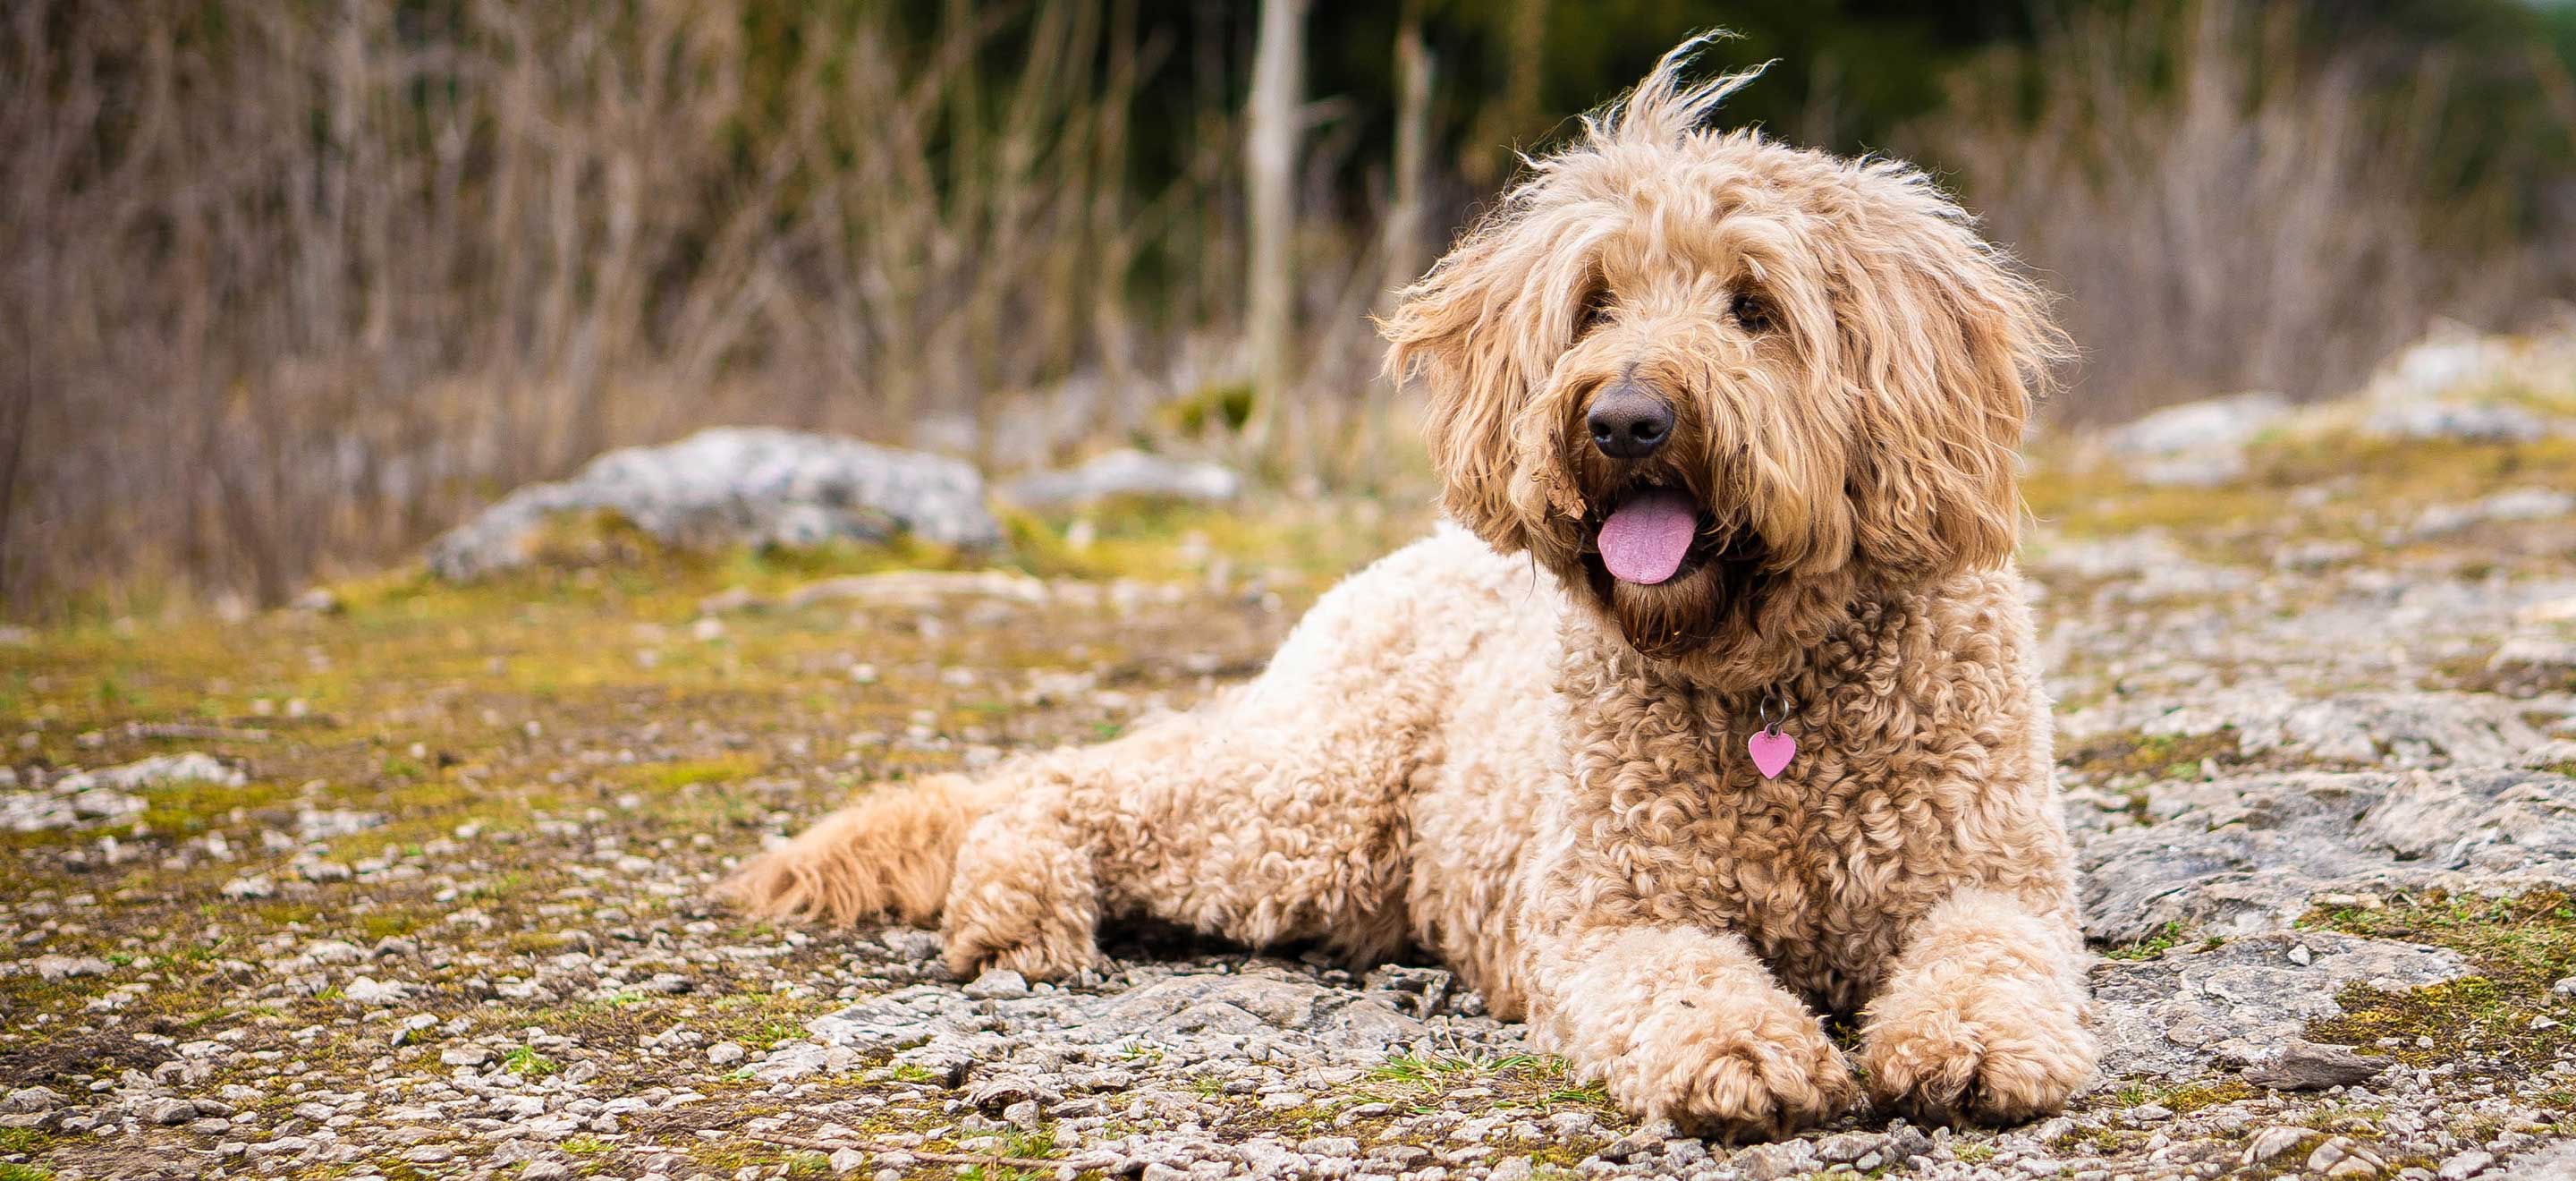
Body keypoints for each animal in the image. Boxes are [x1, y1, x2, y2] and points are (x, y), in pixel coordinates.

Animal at [726, 48, 2091, 1144]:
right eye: (1594, 303)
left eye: (1756, 308)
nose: (1624, 419)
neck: (1769, 686)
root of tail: (1410, 556)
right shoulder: (1607, 918)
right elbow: (1681, 982)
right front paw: (1742, 1052)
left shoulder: (1995, 882)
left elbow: (1993, 962)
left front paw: (1972, 1045)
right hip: (1307, 813)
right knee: (1066, 784)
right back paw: (1018, 914)